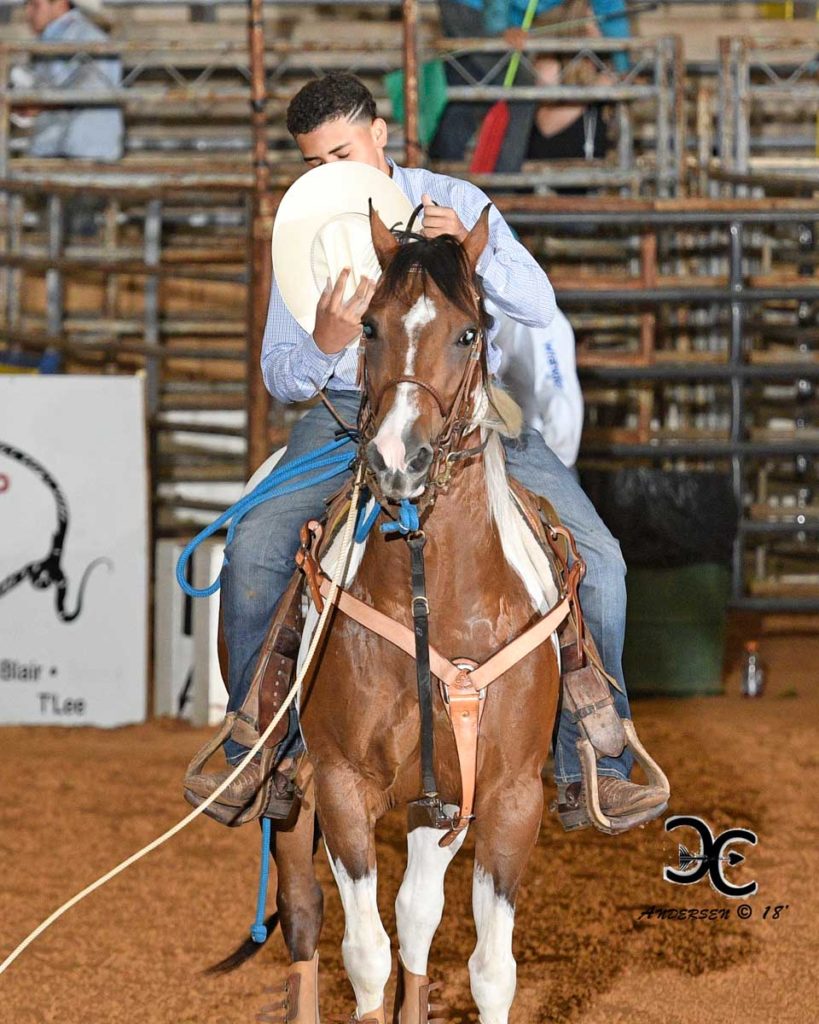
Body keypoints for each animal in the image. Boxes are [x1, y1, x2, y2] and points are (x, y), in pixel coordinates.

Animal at [272, 207, 565, 1024]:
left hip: (437, 808)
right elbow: (364, 954)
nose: (398, 459)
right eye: (367, 325)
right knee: (304, 913)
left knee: (416, 914)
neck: (441, 604)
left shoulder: (506, 797)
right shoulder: (341, 785)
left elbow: (490, 969)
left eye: (469, 332)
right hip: (295, 798)